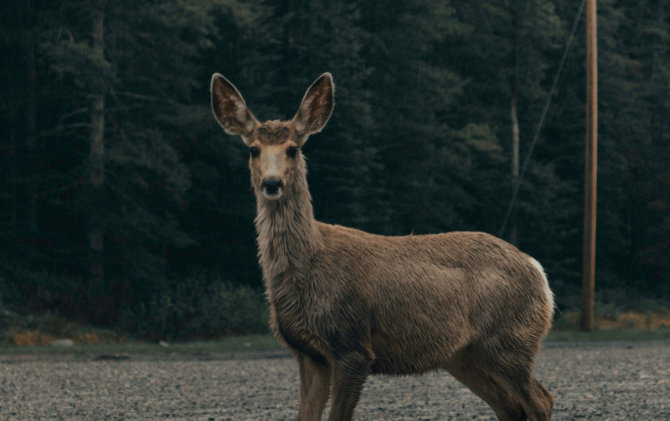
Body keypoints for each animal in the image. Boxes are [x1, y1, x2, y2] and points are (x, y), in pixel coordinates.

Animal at [210, 72, 556, 420]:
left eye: (293, 149)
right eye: (253, 150)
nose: (272, 183)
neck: (309, 264)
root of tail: (537, 271)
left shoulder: (353, 345)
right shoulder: (308, 353)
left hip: (508, 339)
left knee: (541, 399)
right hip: (464, 354)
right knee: (511, 407)